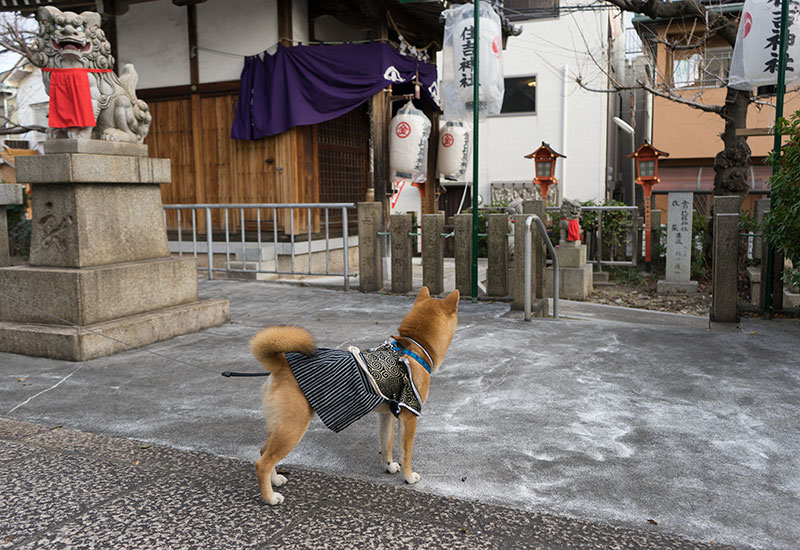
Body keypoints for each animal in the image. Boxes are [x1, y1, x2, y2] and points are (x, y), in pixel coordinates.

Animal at [250, 292, 462, 506]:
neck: (414, 348)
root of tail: (282, 365)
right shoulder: (409, 415)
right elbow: (406, 453)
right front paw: (408, 477)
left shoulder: (387, 415)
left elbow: (386, 444)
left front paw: (389, 466)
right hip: (292, 428)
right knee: (262, 463)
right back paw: (269, 497)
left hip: (280, 426)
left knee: (263, 451)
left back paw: (275, 480)